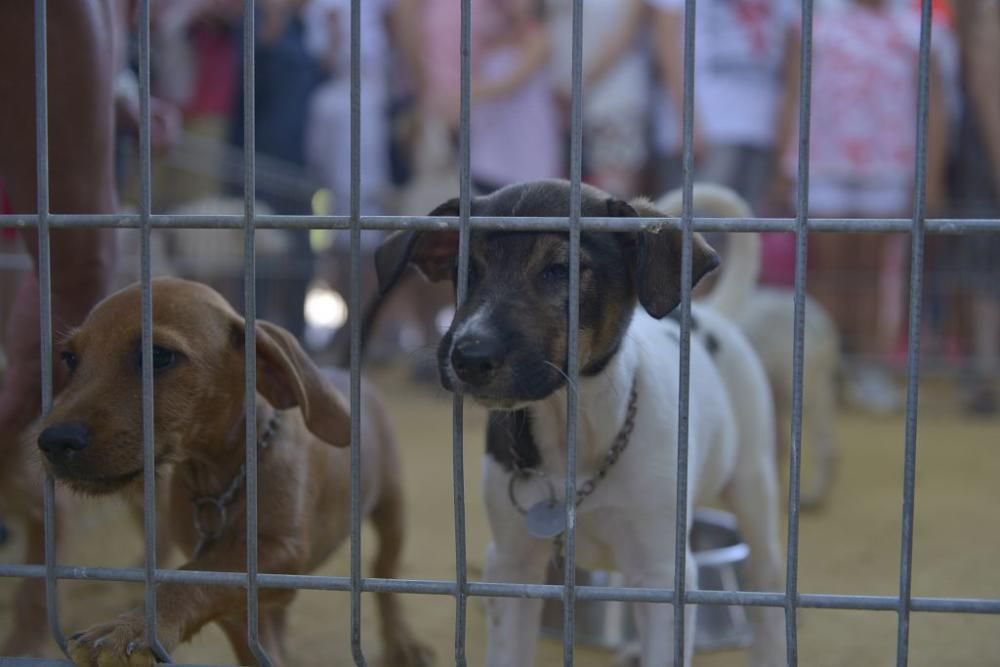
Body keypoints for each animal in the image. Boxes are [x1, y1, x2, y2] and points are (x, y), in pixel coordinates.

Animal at [34, 280, 434, 667]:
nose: (52, 441)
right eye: (70, 358)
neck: (221, 481)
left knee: (385, 574)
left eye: (158, 356)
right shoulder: (242, 598)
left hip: (391, 509)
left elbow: (191, 576)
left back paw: (401, 641)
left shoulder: (282, 551)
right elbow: (227, 606)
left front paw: (131, 627)